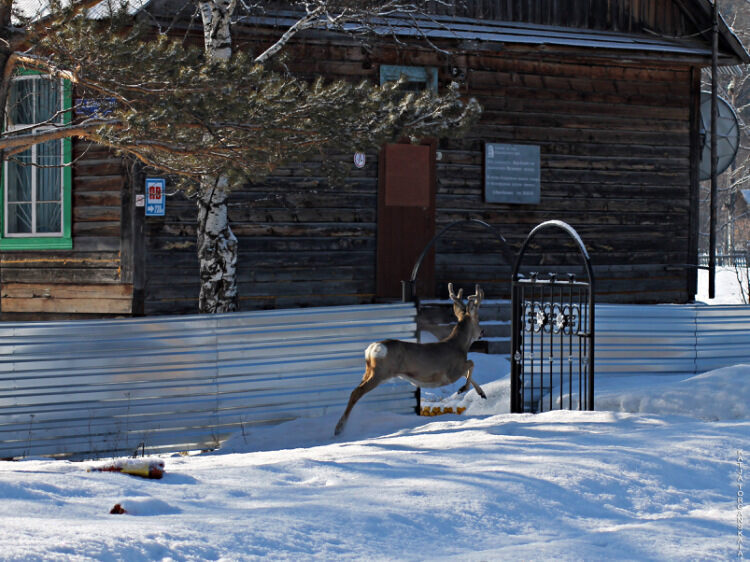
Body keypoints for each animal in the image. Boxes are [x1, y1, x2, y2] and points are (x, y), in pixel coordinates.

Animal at [334, 282, 488, 436]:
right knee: (356, 392)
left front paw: (482, 393)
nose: (482, 332)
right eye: (478, 319)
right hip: (380, 372)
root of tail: (371, 349)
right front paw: (463, 389)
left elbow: (468, 370)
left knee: (355, 390)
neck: (459, 345)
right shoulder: (451, 372)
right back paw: (339, 428)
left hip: (369, 371)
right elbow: (471, 363)